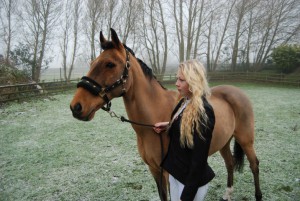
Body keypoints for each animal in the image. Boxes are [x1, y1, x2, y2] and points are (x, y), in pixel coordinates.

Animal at [69, 28, 262, 201]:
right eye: (92, 63)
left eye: (110, 64)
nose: (76, 106)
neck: (153, 118)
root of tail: (237, 91)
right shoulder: (155, 170)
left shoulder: (167, 172)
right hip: (224, 141)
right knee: (230, 163)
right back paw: (228, 194)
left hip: (246, 140)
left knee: (254, 164)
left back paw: (258, 195)